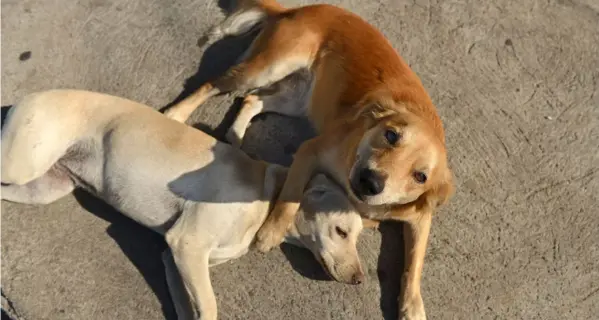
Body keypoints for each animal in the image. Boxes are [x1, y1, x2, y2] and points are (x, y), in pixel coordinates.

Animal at [1, 89, 366, 320]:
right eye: (341, 231)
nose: (361, 280)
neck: (267, 198)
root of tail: (31, 96)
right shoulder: (187, 245)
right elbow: (211, 308)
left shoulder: (176, 259)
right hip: (21, 165)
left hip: (42, 187)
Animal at [164, 1, 454, 318]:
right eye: (391, 135)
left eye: (420, 176)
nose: (370, 180)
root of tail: (300, 8)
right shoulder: (310, 150)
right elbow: (290, 197)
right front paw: (270, 233)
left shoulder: (419, 217)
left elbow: (415, 262)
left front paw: (412, 306)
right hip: (266, 69)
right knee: (212, 84)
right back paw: (176, 114)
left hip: (299, 98)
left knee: (252, 100)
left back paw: (237, 135)